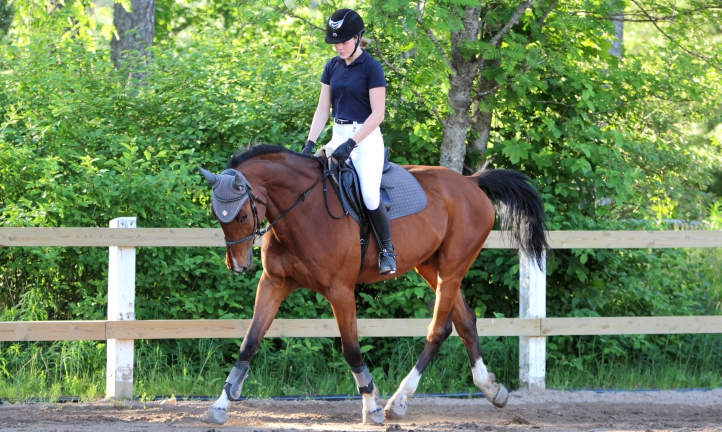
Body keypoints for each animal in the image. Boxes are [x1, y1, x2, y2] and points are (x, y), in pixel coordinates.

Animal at [197, 146, 544, 426]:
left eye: (242, 215)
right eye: (217, 214)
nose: (237, 265)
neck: (303, 211)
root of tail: (471, 182)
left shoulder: (340, 291)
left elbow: (351, 349)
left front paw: (371, 406)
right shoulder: (273, 284)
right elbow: (249, 343)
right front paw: (220, 405)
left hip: (453, 266)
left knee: (437, 329)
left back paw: (398, 400)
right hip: (431, 266)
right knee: (463, 321)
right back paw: (491, 389)